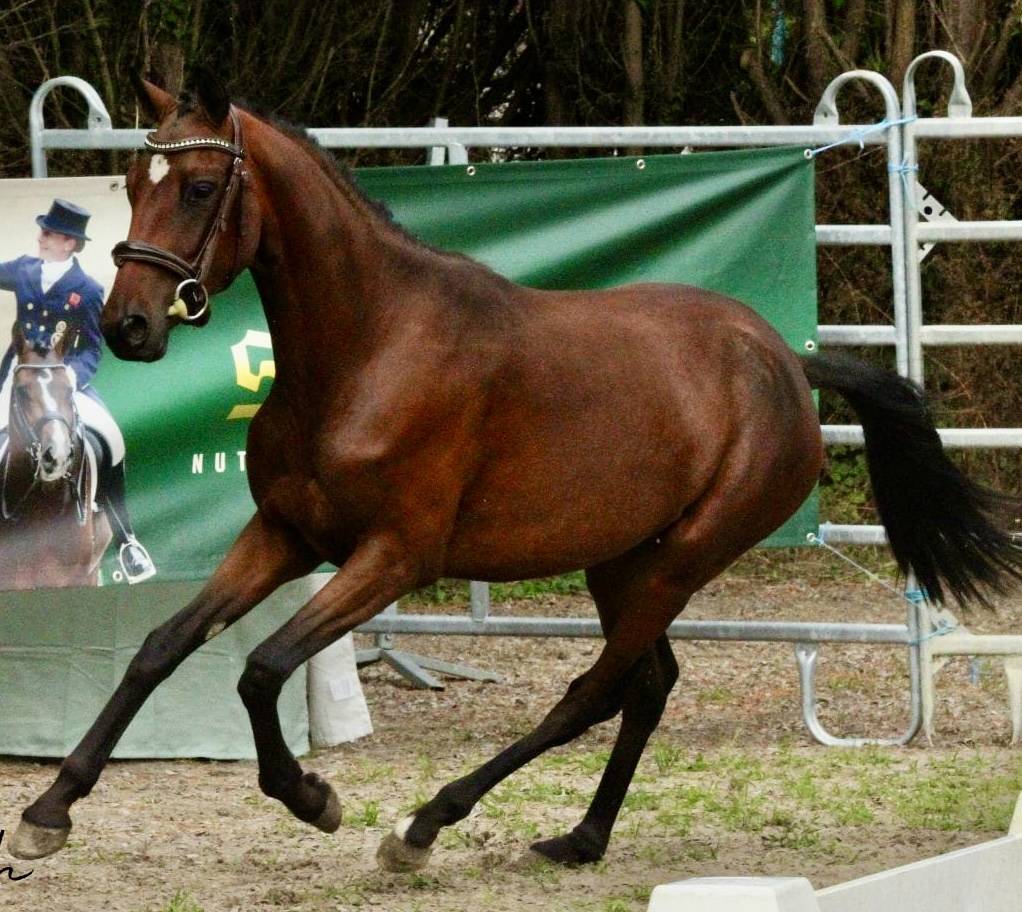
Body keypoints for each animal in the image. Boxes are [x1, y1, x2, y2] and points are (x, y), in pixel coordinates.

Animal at [12, 74, 1022, 867]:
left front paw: (315, 799)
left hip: (684, 559)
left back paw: (425, 827)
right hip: (623, 560)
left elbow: (262, 668)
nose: (129, 326)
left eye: (198, 184)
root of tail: (785, 360)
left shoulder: (395, 556)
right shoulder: (286, 535)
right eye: (132, 183)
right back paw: (581, 838)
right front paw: (47, 812)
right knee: (647, 685)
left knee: (594, 690)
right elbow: (161, 648)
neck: (367, 351)